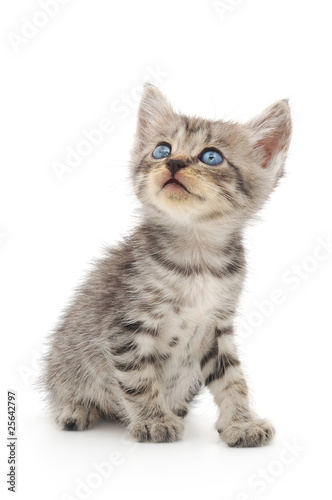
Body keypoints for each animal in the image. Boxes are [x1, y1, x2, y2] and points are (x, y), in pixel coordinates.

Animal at [42, 84, 292, 448]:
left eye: (212, 156)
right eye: (161, 150)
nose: (173, 162)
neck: (198, 259)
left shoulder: (217, 329)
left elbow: (232, 378)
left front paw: (240, 423)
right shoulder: (127, 327)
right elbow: (138, 378)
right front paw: (152, 420)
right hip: (64, 363)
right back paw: (76, 408)